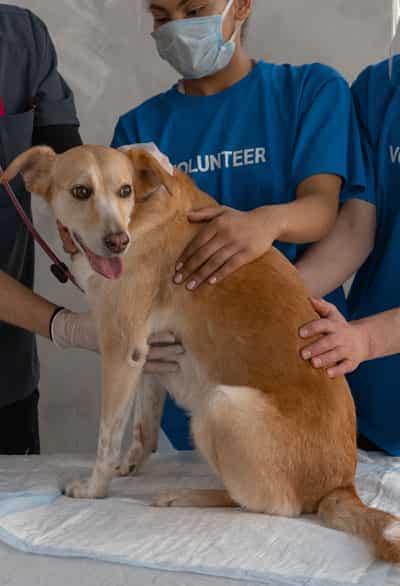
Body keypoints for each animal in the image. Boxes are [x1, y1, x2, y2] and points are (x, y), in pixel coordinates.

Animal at [2, 144, 400, 563]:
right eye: (81, 192)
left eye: (125, 190)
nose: (118, 242)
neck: (141, 210)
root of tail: (340, 487)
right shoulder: (148, 355)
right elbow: (143, 427)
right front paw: (129, 465)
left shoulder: (121, 348)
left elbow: (107, 437)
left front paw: (95, 488)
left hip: (220, 403)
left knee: (274, 506)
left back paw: (187, 495)